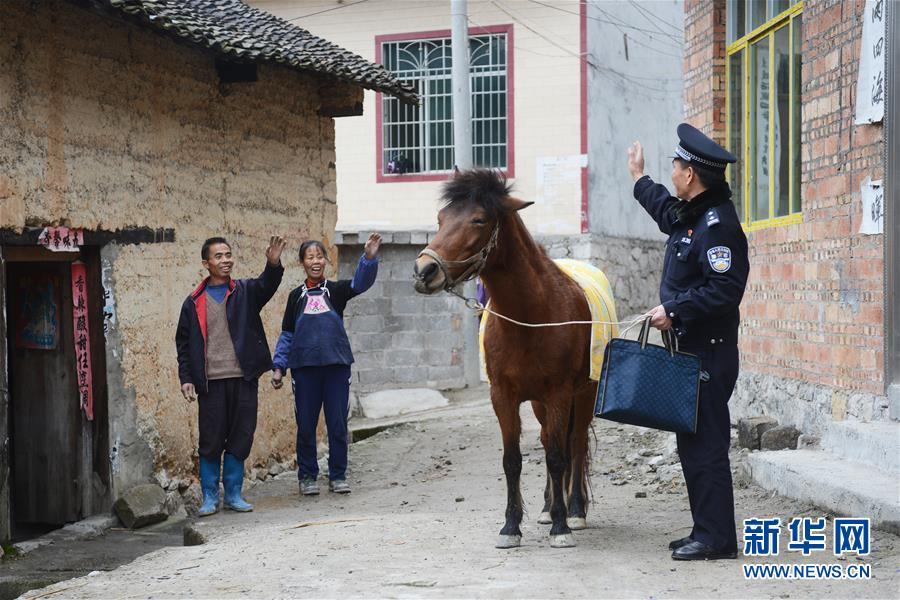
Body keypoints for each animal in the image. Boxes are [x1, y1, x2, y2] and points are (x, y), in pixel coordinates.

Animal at [416, 170, 604, 548]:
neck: (530, 316)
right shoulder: (503, 396)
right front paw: (511, 526)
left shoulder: (560, 393)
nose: (424, 270)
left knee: (574, 444)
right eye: (441, 218)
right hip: (540, 405)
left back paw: (574, 511)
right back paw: (548, 508)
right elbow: (513, 460)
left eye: (479, 220)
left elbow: (559, 456)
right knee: (548, 439)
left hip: (584, 393)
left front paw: (562, 527)